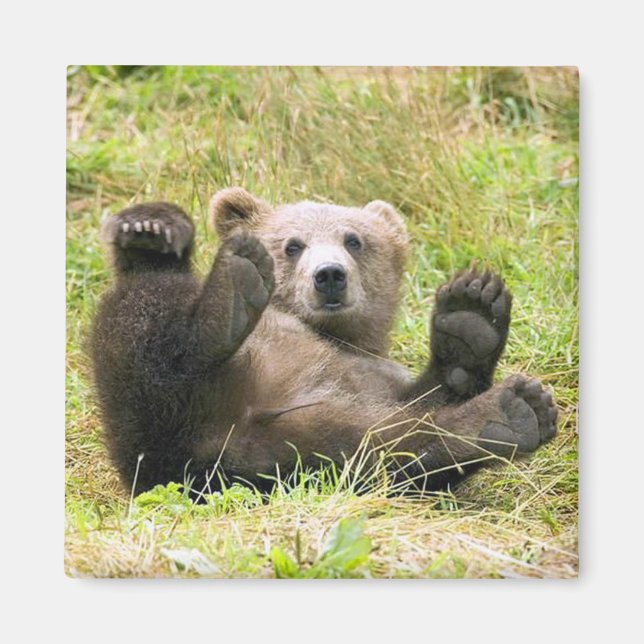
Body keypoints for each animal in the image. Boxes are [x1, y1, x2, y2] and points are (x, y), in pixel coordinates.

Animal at [90, 188, 557, 497]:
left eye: (354, 239)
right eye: (293, 245)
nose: (329, 274)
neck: (332, 334)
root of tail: (216, 443)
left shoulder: (372, 376)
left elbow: (424, 402)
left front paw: (471, 315)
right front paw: (150, 226)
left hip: (298, 449)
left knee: (386, 449)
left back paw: (507, 412)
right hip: (151, 419)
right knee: (145, 321)